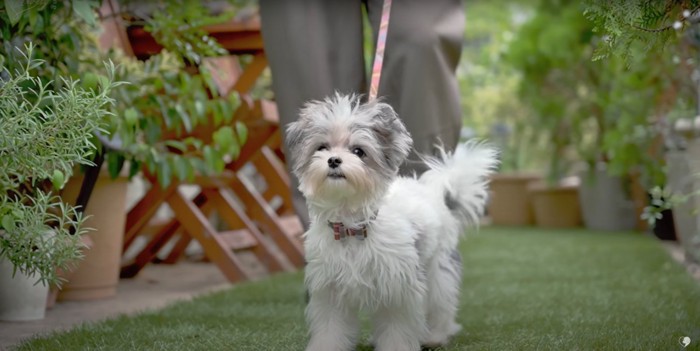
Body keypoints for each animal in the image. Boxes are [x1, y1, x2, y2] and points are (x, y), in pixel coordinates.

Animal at [284, 93, 498, 351]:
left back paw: (437, 335)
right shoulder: (329, 290)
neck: (352, 227)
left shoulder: (397, 289)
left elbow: (397, 328)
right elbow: (330, 329)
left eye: (359, 151)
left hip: (437, 267)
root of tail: (435, 192)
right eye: (322, 147)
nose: (333, 160)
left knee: (441, 303)